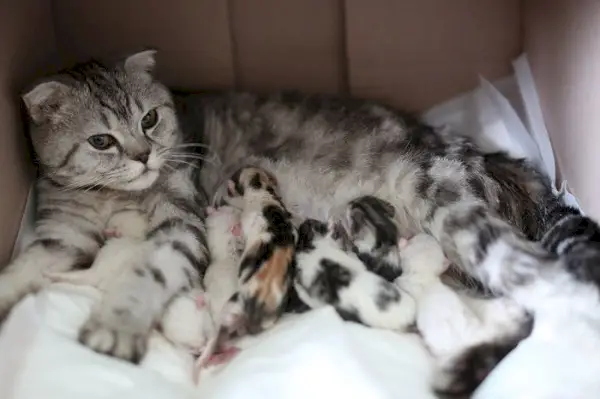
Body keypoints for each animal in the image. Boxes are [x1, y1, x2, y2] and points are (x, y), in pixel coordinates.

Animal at [5, 48, 600, 364]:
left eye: (149, 119)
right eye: (101, 140)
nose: (145, 154)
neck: (112, 198)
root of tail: (487, 155)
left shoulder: (181, 222)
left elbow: (151, 269)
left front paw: (118, 323)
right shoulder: (62, 233)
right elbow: (28, 263)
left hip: (450, 204)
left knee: (522, 268)